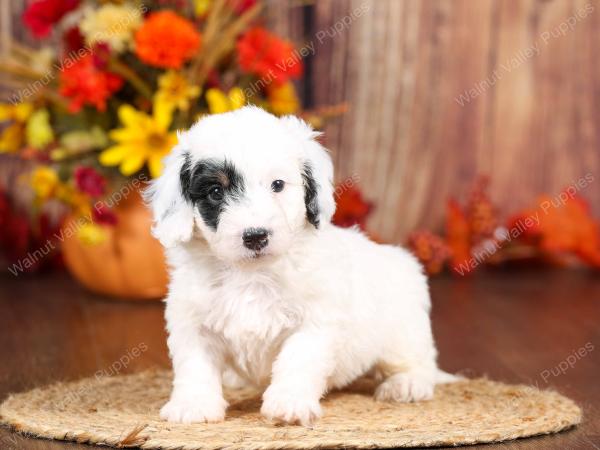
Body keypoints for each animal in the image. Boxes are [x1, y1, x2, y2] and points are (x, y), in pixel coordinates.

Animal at [146, 104, 454, 426]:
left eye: (278, 185)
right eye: (216, 192)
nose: (255, 236)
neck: (252, 274)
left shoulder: (314, 320)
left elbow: (297, 360)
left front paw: (289, 404)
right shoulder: (192, 321)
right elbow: (195, 365)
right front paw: (193, 405)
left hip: (403, 330)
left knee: (417, 361)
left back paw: (406, 383)